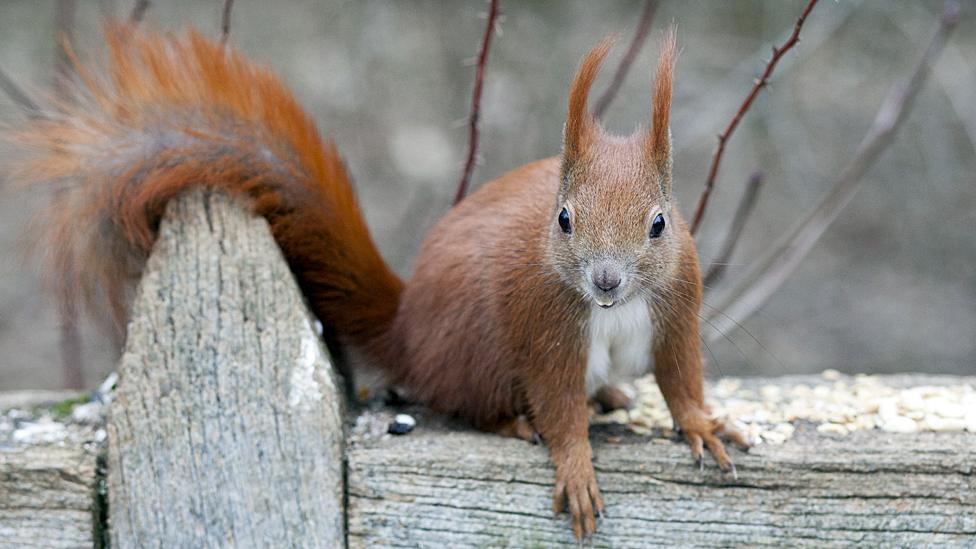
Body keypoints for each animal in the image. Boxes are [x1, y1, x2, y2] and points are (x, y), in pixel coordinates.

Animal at [11, 24, 748, 536]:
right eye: (563, 218)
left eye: (660, 223)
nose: (605, 281)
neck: (617, 308)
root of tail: (407, 332)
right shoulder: (546, 329)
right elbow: (558, 403)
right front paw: (576, 465)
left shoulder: (676, 312)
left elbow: (681, 379)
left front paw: (703, 425)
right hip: (475, 350)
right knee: (466, 399)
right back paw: (513, 420)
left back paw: (613, 393)